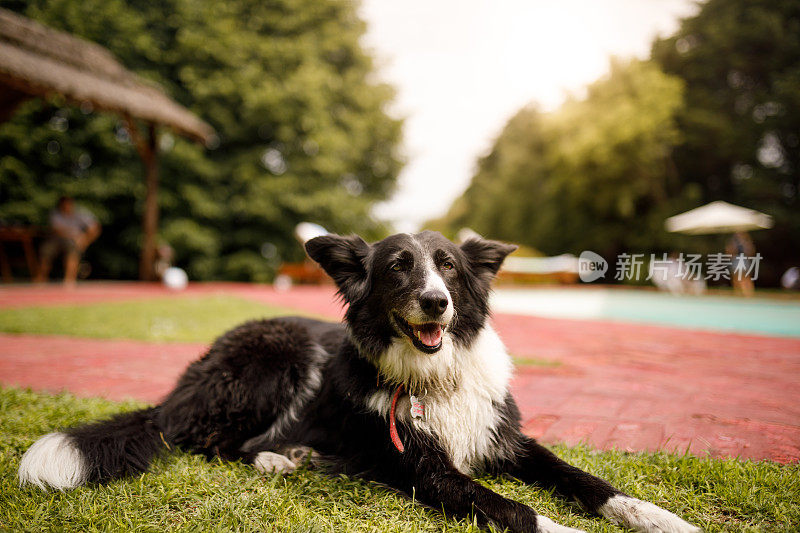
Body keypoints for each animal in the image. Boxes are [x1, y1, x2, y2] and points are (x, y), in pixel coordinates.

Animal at [18, 231, 700, 528]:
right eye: (398, 267)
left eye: (448, 267)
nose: (436, 303)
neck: (434, 375)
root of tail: (180, 388)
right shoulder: (428, 470)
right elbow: (522, 512)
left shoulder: (507, 439)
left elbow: (585, 480)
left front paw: (658, 517)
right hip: (281, 356)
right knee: (213, 443)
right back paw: (280, 459)